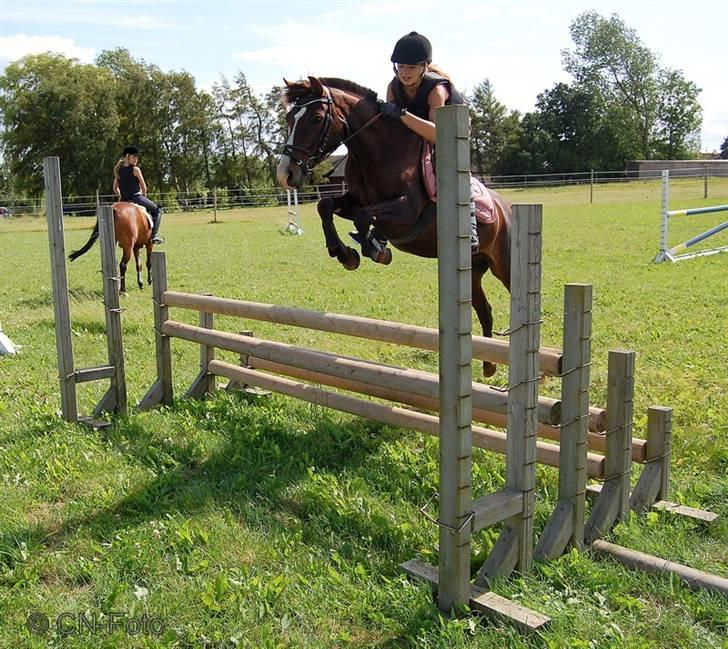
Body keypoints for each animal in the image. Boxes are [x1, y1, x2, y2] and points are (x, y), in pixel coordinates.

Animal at [276, 76, 512, 377]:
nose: (286, 174)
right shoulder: (355, 200)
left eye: (317, 118)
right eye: (289, 118)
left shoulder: (406, 211)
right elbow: (326, 206)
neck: (376, 152)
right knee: (485, 310)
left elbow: (364, 217)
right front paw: (346, 254)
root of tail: (506, 208)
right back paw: (489, 366)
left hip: (503, 263)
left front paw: (374, 249)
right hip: (471, 271)